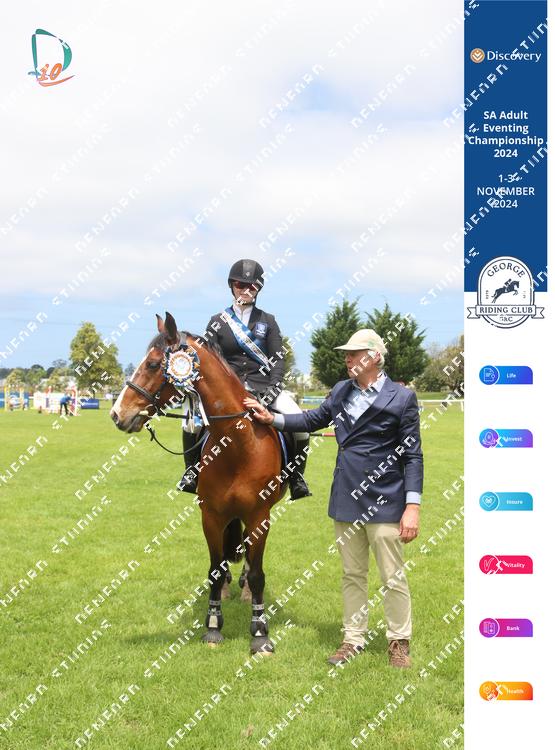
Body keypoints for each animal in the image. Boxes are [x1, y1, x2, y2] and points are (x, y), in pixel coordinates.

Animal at [110, 312, 287, 654]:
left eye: (153, 364)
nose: (117, 414)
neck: (237, 444)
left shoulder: (260, 516)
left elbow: (258, 574)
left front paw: (260, 634)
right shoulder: (211, 516)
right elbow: (215, 572)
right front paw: (214, 627)